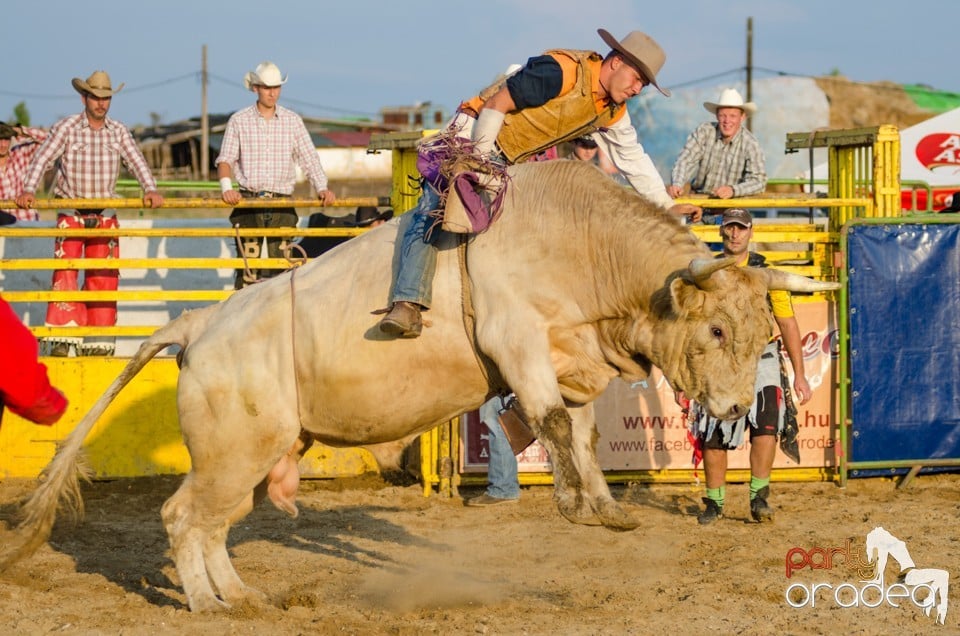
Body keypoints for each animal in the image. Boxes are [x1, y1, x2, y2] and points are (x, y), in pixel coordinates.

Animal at [0, 160, 840, 612]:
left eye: (764, 334)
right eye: (718, 331)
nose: (733, 409)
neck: (581, 246)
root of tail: (199, 325)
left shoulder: (570, 360)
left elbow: (578, 430)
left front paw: (598, 507)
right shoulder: (516, 340)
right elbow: (553, 423)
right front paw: (583, 506)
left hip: (249, 456)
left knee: (211, 524)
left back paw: (241, 596)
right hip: (234, 450)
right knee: (183, 518)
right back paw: (208, 603)